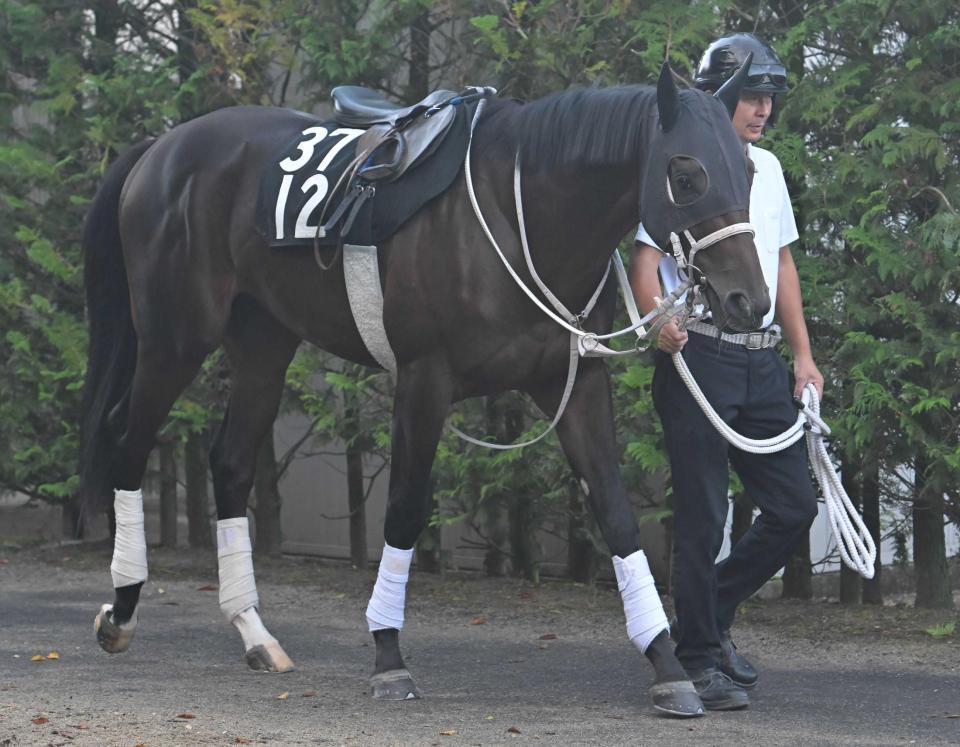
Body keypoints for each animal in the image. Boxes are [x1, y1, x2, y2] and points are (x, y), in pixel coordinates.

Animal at [80, 64, 772, 720]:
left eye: (747, 171)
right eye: (686, 173)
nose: (750, 301)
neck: (521, 212)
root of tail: (163, 145)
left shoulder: (571, 383)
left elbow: (618, 515)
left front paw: (668, 666)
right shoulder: (423, 379)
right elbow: (406, 511)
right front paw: (389, 658)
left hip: (262, 341)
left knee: (228, 462)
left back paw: (253, 631)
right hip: (175, 337)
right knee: (125, 440)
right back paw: (122, 610)